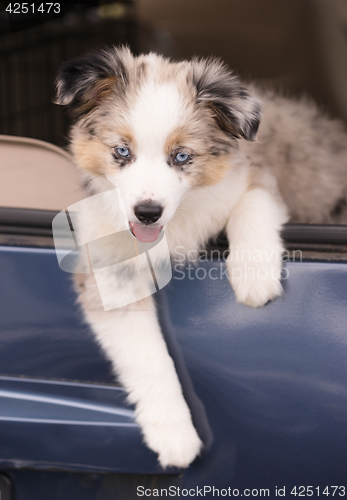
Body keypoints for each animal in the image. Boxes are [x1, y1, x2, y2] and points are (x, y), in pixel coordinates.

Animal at [54, 47, 347, 468]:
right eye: (121, 151)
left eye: (181, 156)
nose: (147, 213)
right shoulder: (109, 275)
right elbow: (146, 357)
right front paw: (174, 435)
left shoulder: (252, 177)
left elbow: (253, 203)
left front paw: (254, 278)